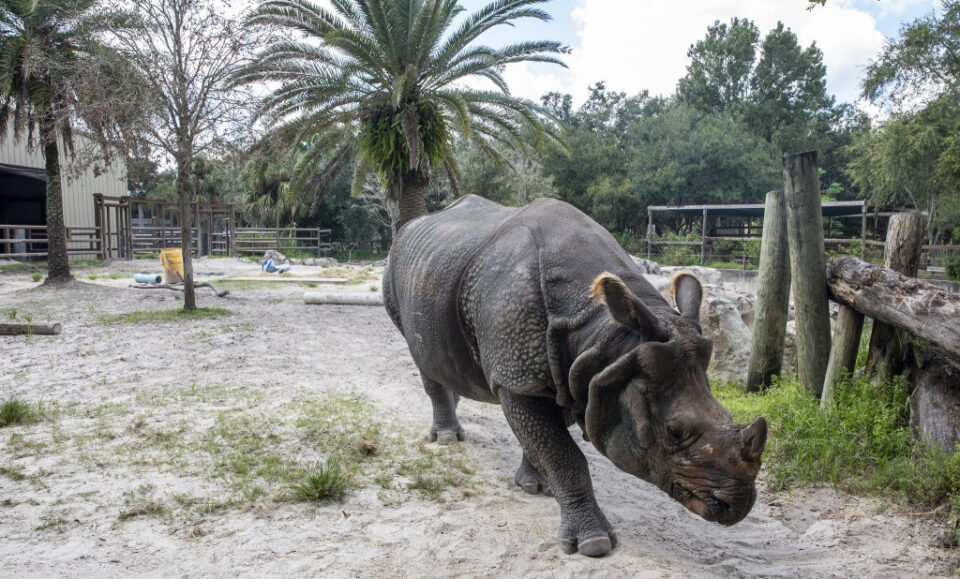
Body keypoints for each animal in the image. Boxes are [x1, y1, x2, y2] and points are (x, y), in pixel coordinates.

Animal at [383, 195, 767, 557]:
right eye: (674, 432)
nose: (737, 505)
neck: (604, 333)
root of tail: (409, 227)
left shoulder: (574, 372)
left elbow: (543, 439)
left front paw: (535, 485)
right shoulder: (518, 376)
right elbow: (563, 454)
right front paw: (593, 545)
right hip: (394, 274)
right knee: (419, 356)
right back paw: (447, 439)